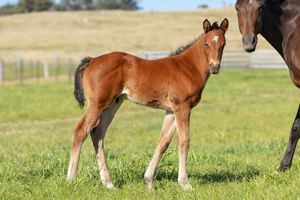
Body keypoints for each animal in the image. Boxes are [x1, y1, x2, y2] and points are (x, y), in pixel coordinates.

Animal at [67, 18, 229, 189]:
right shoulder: (182, 105)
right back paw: (71, 178)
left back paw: (108, 183)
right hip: (98, 103)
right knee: (81, 130)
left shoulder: (171, 110)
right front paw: (185, 184)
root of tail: (92, 59)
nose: (215, 67)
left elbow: (163, 141)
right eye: (206, 43)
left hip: (113, 104)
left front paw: (149, 180)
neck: (188, 67)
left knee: (97, 132)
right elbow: (184, 140)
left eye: (223, 43)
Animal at [236, 0, 300, 171]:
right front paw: (284, 165)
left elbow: (295, 127)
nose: (249, 42)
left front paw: (284, 165)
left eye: (259, 7)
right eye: (237, 8)